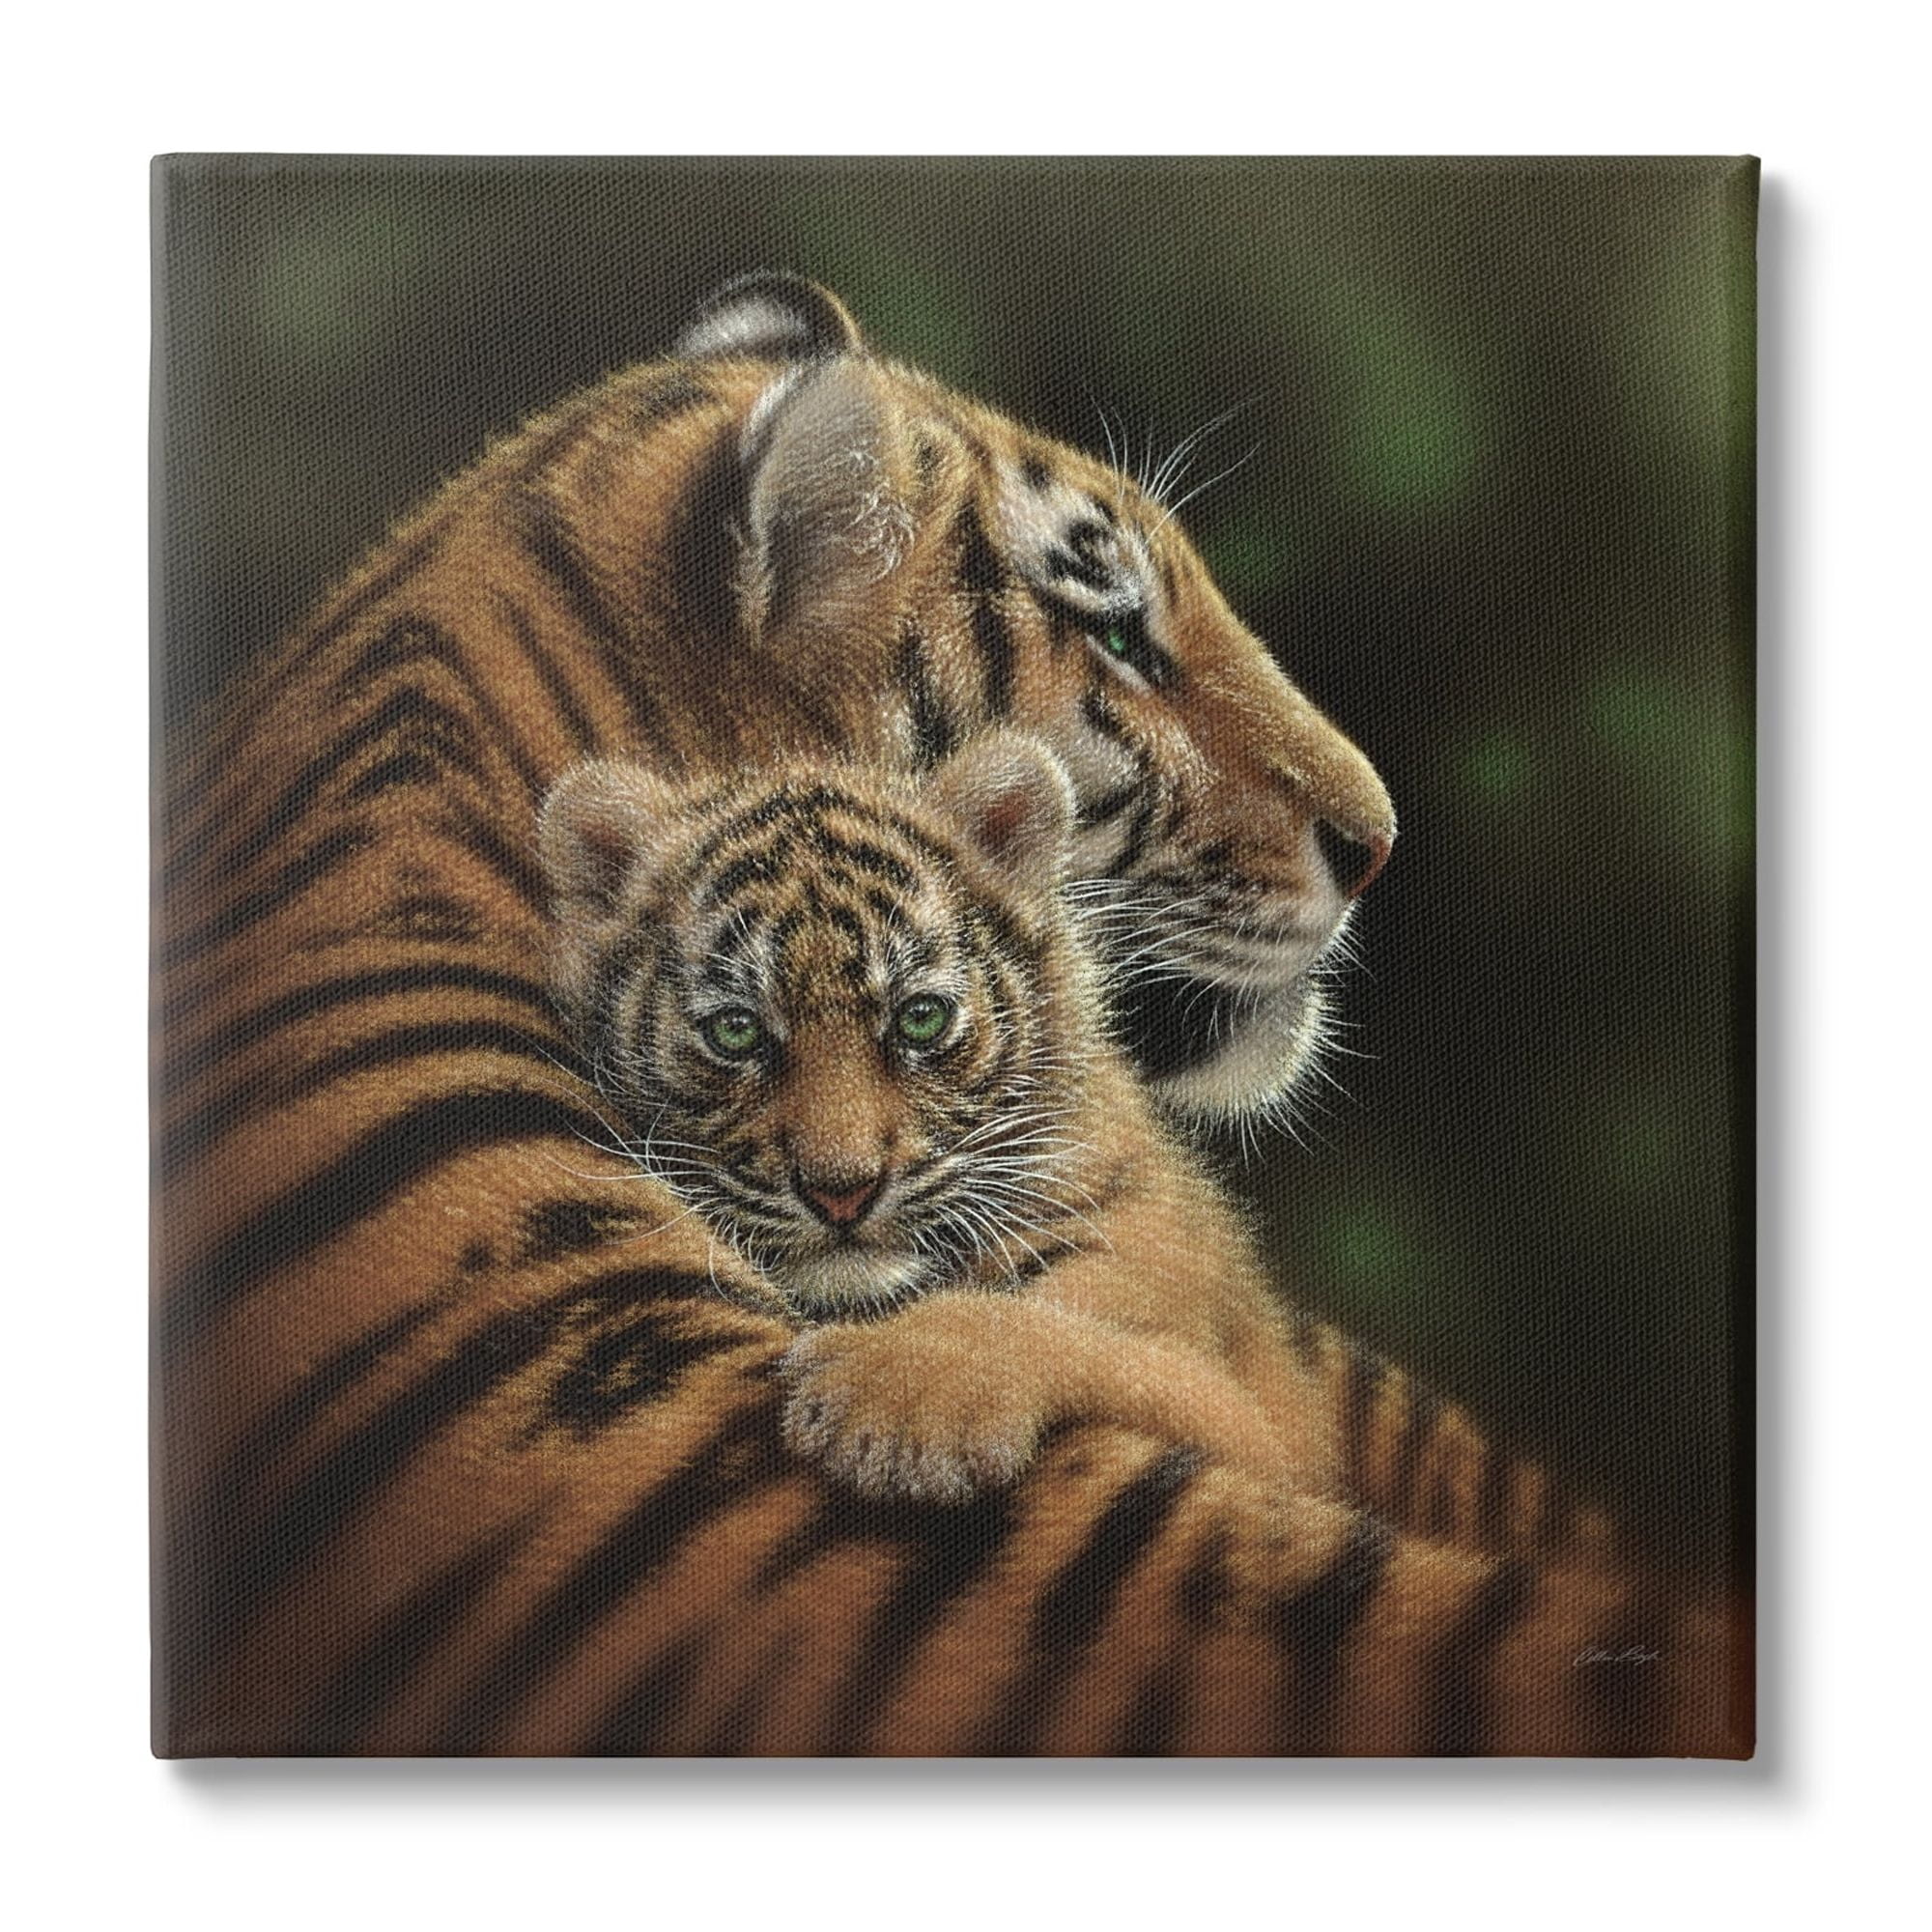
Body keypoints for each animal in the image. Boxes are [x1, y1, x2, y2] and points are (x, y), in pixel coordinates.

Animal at [538, 732, 1341, 1506]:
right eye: (735, 1032)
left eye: (920, 1018)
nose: (842, 1192)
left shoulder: (1255, 1425)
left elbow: (1086, 1340)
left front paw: (896, 1403)